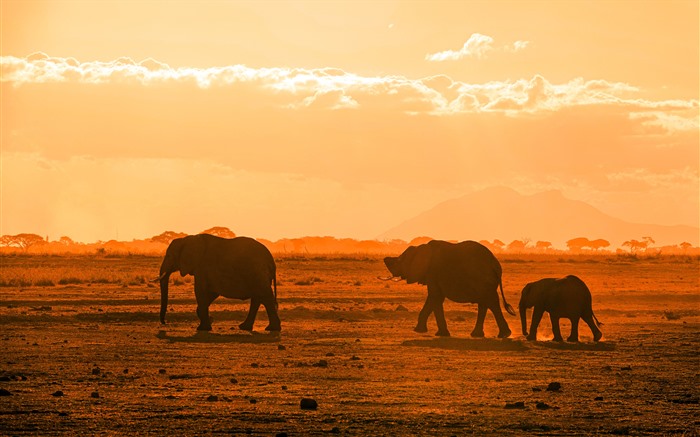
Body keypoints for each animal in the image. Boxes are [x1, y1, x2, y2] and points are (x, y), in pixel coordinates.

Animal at [382, 238, 516, 338]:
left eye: (400, 260)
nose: (385, 259)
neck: (421, 248)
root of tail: (495, 264)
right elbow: (436, 298)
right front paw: (422, 331)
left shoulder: (433, 272)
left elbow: (434, 297)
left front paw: (437, 334)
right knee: (486, 302)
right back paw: (482, 335)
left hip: (483, 279)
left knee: (490, 301)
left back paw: (502, 335)